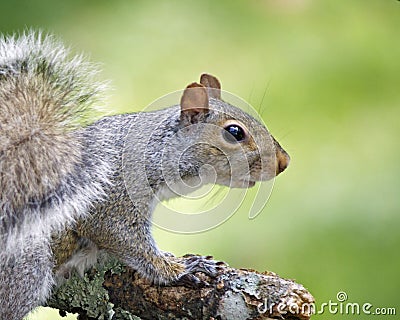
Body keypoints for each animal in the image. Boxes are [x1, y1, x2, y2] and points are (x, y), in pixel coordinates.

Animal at [0, 31, 288, 318]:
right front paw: (179, 269)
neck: (154, 152)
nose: (284, 162)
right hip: (28, 266)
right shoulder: (111, 198)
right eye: (235, 132)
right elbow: (123, 239)